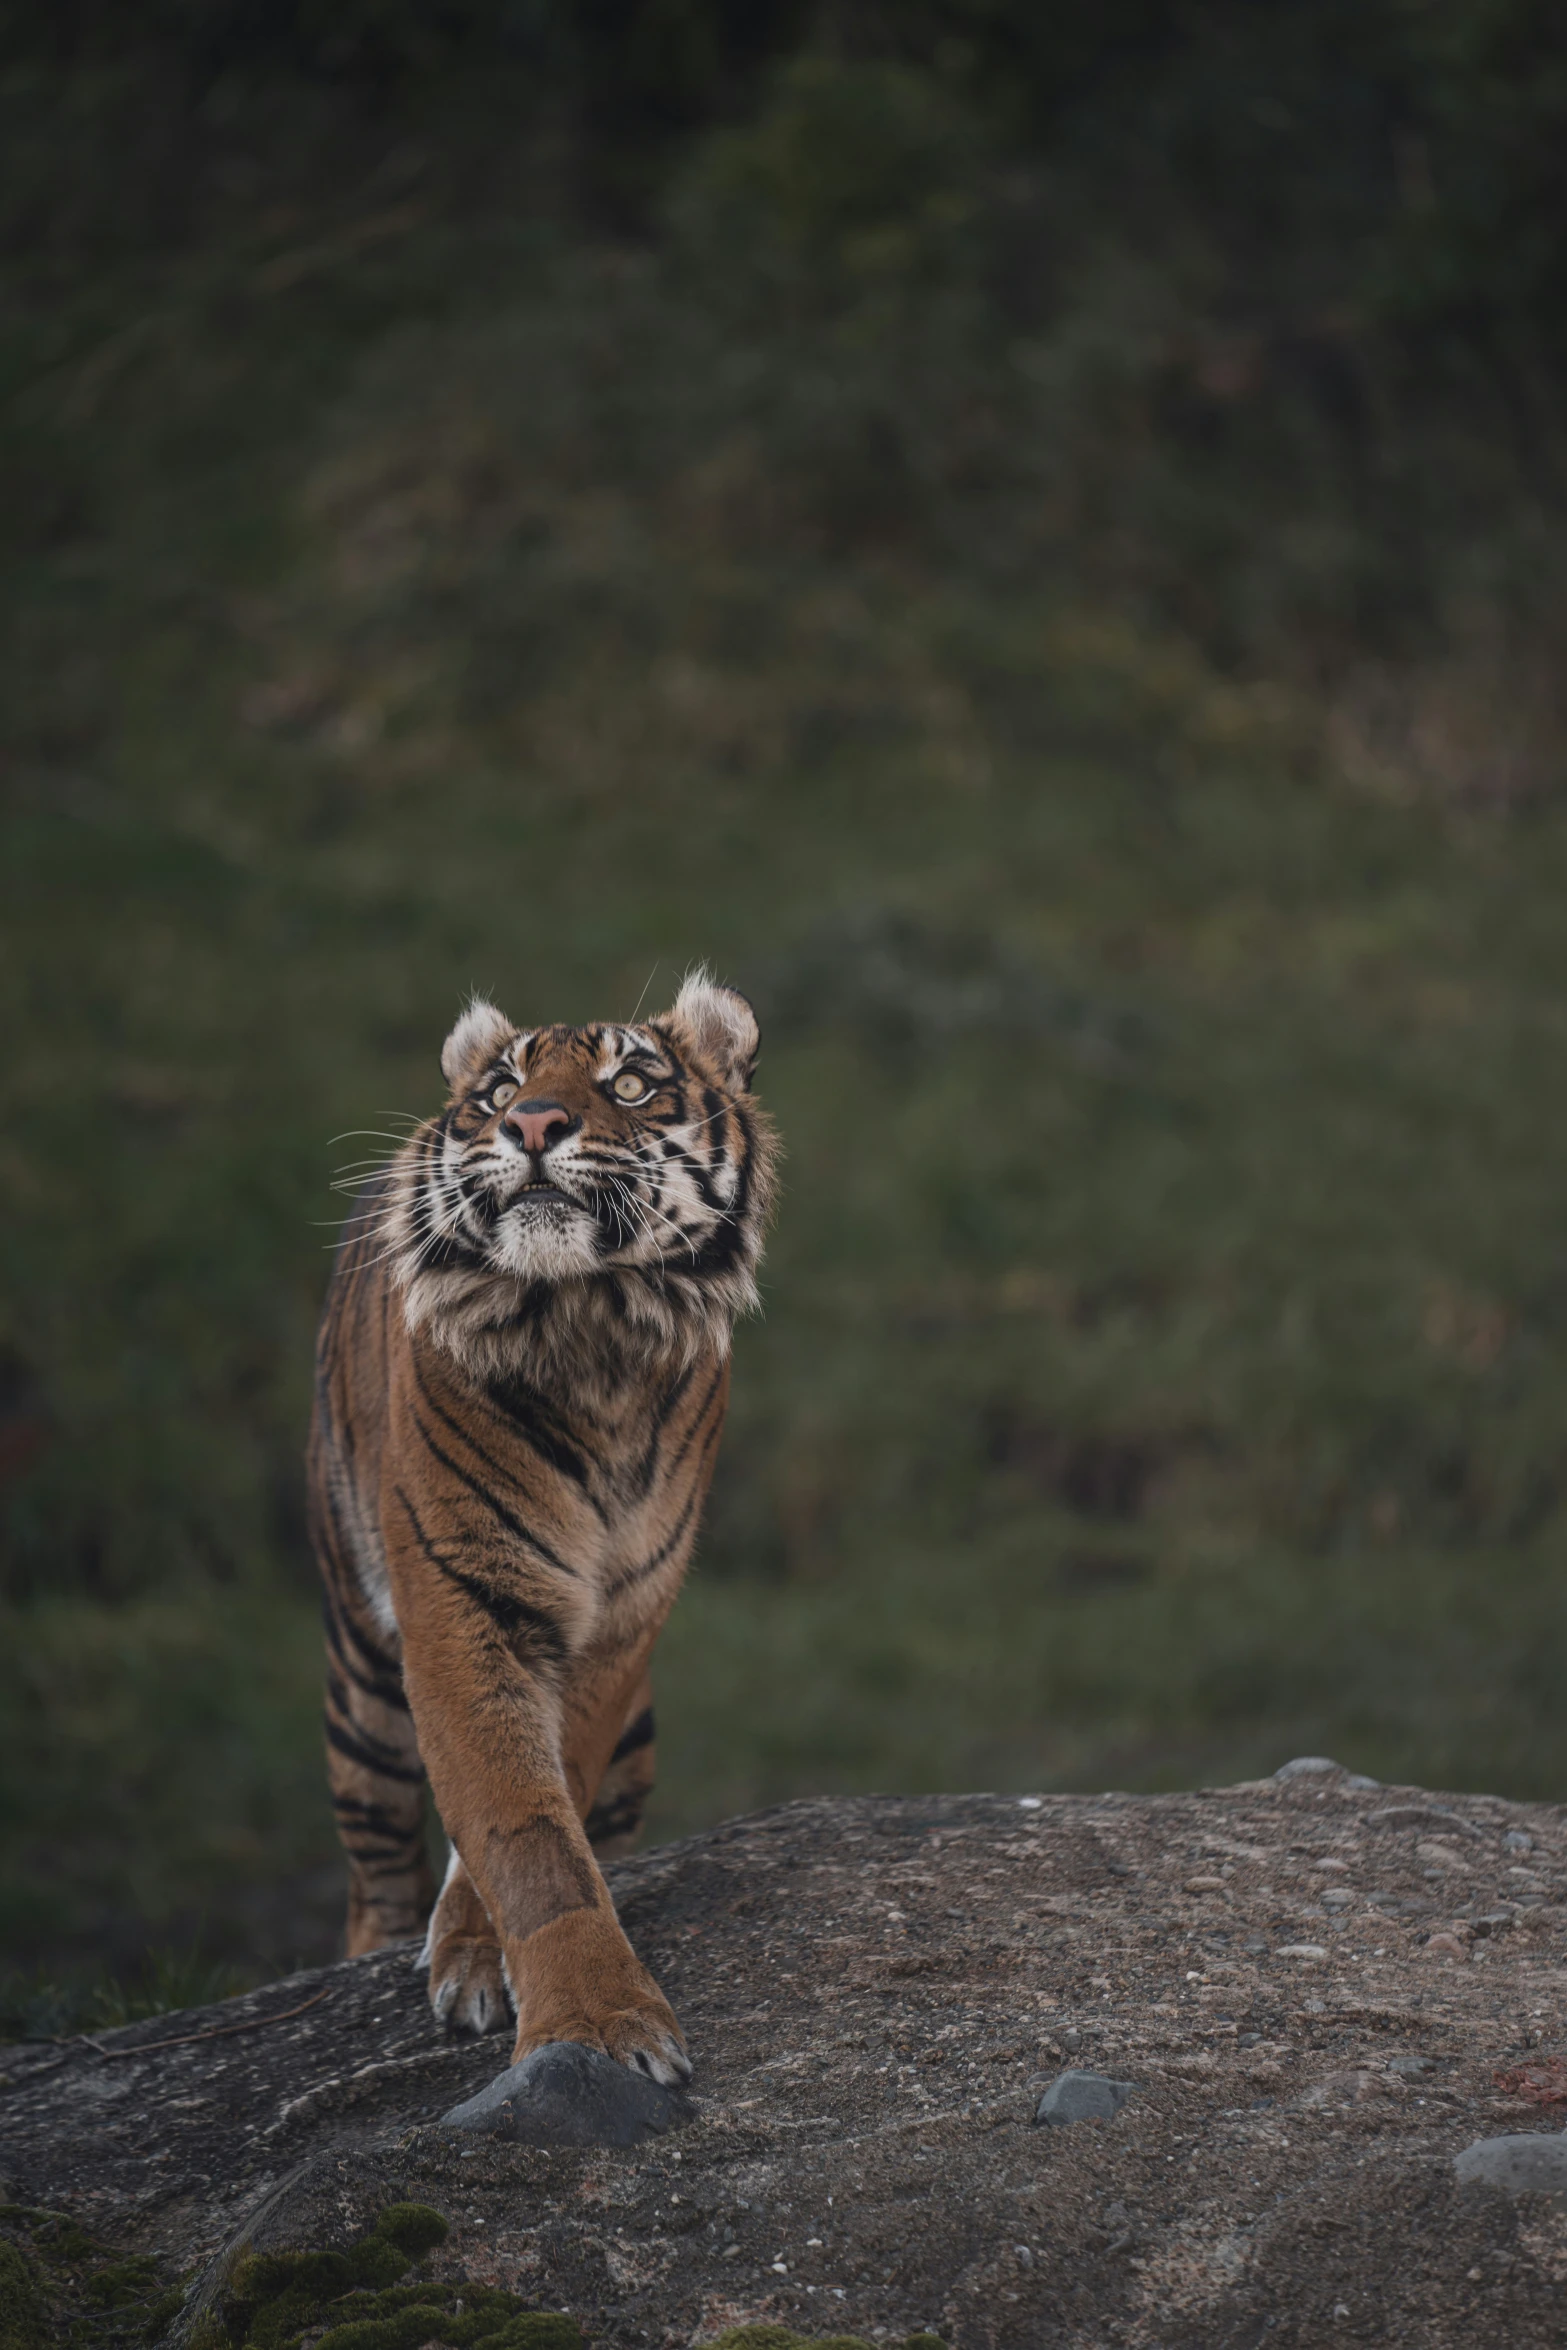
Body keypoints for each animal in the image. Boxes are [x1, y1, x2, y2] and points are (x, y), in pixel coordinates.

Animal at [303, 972, 775, 2096]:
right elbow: (525, 1834)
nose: (529, 1124)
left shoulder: (617, 1627)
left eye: (632, 1083)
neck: (590, 1328)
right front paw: (592, 2030)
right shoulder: (464, 1604)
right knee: (374, 1867)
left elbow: (539, 1803)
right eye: (497, 1091)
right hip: (363, 1683)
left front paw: (488, 1956)